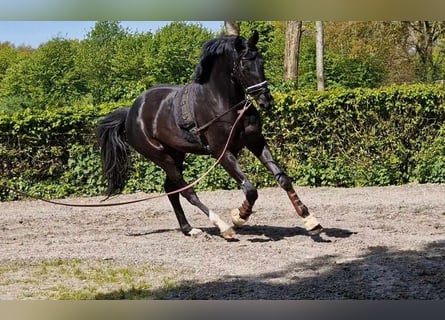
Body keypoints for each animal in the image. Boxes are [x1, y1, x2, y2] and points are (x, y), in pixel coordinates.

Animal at [97, 31, 320, 240]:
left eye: (261, 62)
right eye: (244, 65)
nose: (266, 100)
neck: (224, 103)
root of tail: (131, 112)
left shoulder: (256, 142)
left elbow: (283, 179)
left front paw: (309, 219)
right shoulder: (222, 152)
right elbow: (250, 189)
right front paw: (239, 216)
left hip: (176, 154)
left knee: (171, 189)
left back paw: (189, 229)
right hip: (161, 156)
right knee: (187, 191)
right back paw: (223, 227)